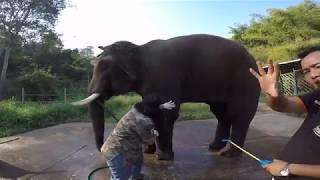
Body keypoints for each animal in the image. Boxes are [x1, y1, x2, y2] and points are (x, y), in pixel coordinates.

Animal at [74, 33, 262, 160]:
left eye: (105, 67)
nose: (101, 150)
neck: (138, 49)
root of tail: (255, 60)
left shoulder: (164, 78)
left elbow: (167, 113)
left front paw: (162, 158)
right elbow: (149, 108)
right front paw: (147, 152)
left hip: (246, 82)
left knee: (240, 115)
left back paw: (228, 154)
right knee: (222, 114)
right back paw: (214, 148)